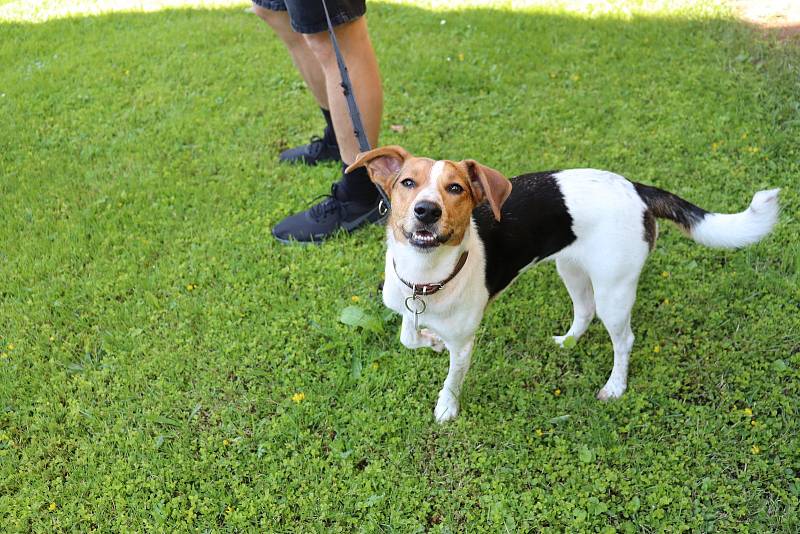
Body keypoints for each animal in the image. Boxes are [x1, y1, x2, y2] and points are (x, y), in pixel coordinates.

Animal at [346, 147, 780, 422]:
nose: (426, 211)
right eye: (407, 183)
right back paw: (569, 342)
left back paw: (615, 386)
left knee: (624, 339)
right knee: (584, 311)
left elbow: (453, 379)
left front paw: (446, 409)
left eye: (455, 189)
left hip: (614, 290)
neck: (426, 276)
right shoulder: (406, 306)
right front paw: (430, 342)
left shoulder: (465, 342)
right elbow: (408, 337)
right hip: (570, 268)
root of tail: (636, 188)